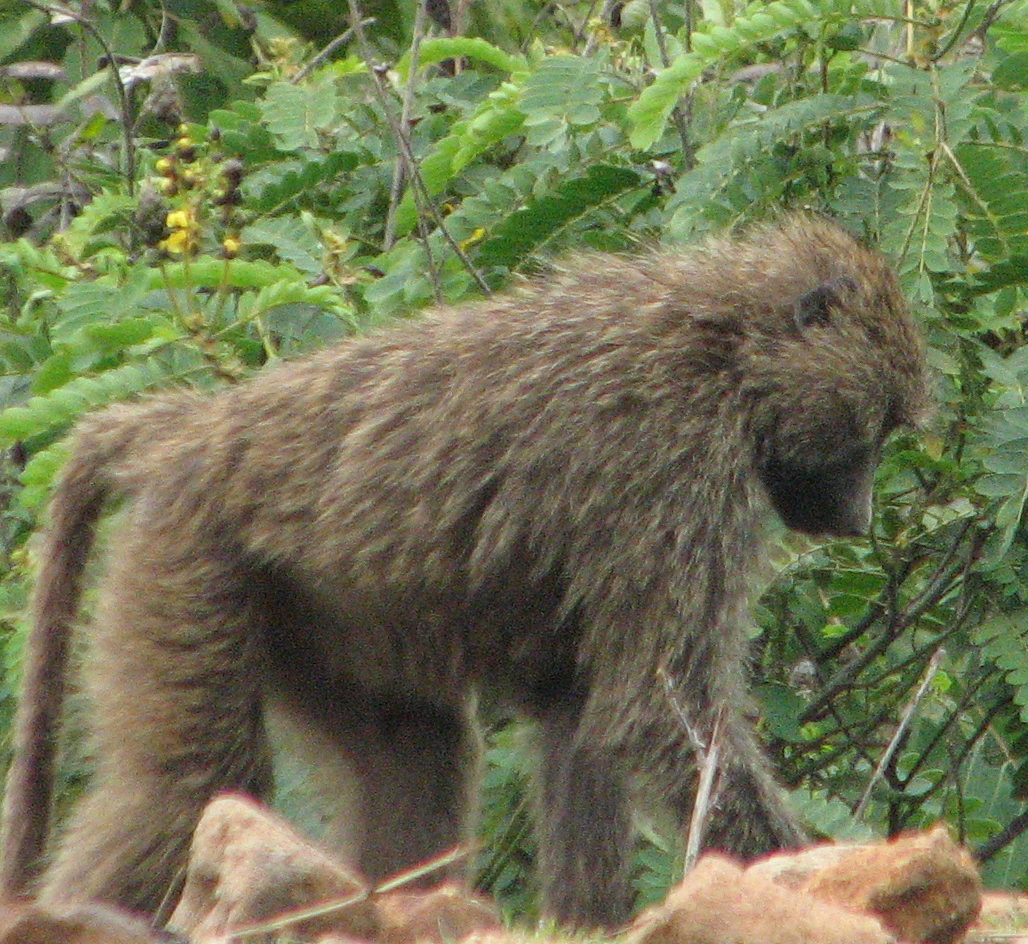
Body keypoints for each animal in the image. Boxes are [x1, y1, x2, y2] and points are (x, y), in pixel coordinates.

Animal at [0, 215, 929, 930]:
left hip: (306, 612)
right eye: (871, 429)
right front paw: (810, 879)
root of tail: (189, 434)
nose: (858, 518)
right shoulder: (674, 462)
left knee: (417, 752)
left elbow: (582, 719)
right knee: (189, 785)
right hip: (191, 563)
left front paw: (587, 923)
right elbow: (654, 713)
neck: (723, 346)